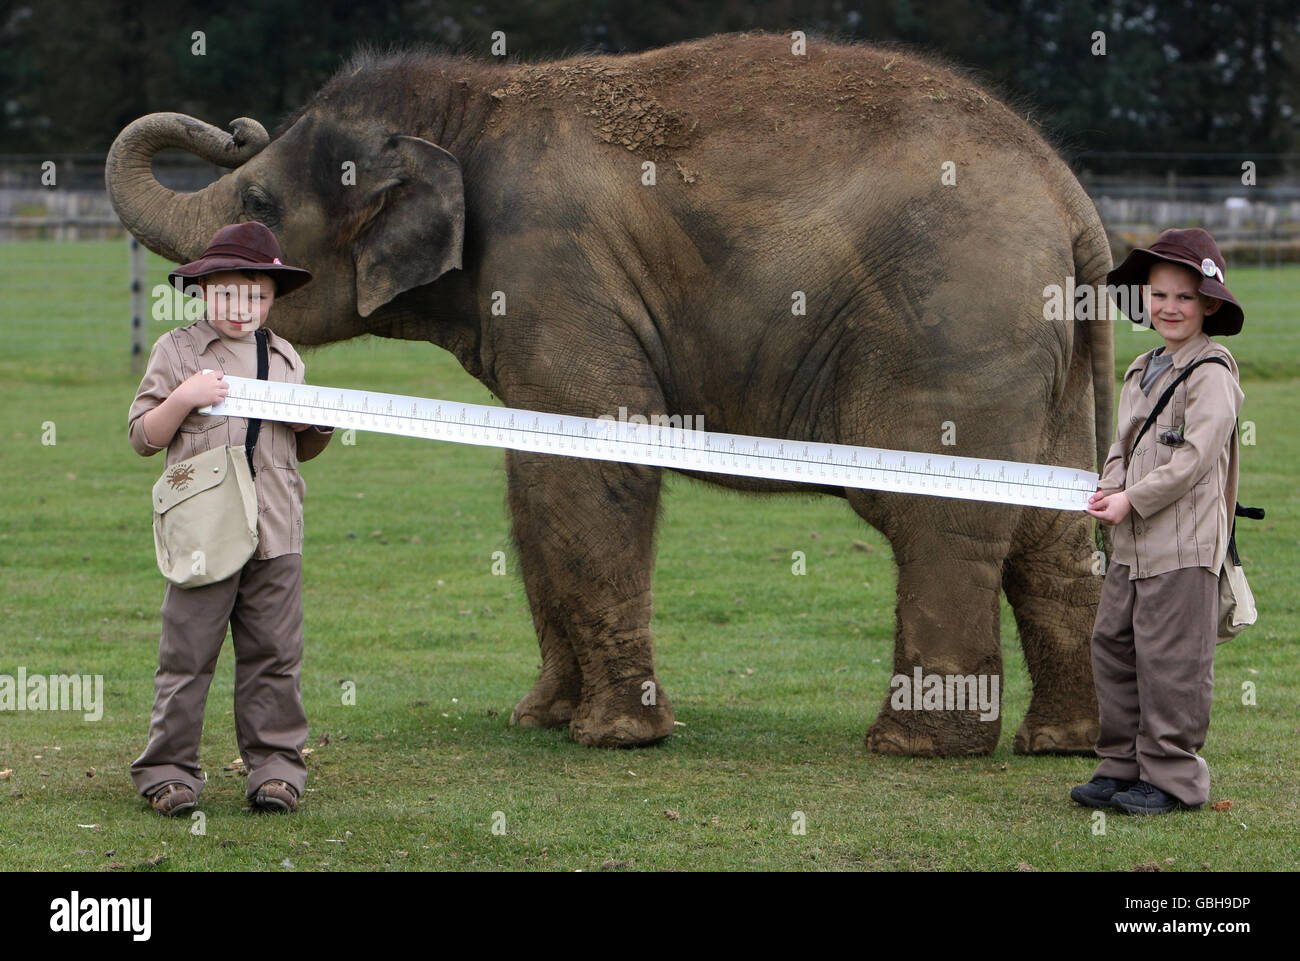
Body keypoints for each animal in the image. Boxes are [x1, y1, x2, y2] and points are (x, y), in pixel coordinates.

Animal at [106, 30, 1112, 754]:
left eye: (260, 204)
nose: (233, 125)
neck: (476, 104)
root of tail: (1072, 199)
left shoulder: (553, 261)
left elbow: (599, 456)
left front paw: (615, 736)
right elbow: (533, 475)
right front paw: (541, 718)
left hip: (954, 322)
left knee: (939, 516)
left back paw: (912, 745)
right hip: (1038, 354)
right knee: (1049, 535)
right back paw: (1060, 742)